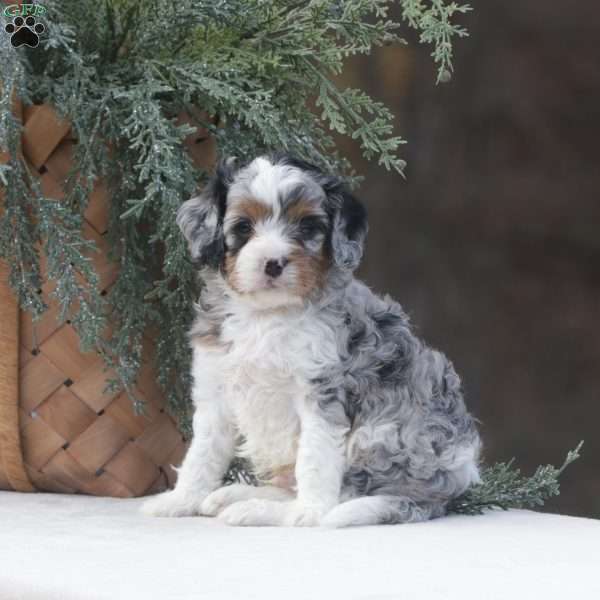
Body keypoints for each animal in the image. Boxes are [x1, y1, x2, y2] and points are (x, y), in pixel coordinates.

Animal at [142, 157, 482, 528]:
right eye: (244, 227)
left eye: (306, 226)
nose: (273, 263)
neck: (267, 315)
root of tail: (449, 488)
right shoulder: (215, 389)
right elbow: (202, 453)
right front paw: (181, 500)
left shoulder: (322, 394)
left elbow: (315, 462)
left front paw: (307, 513)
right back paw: (235, 497)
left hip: (383, 436)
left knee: (346, 494)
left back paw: (264, 510)